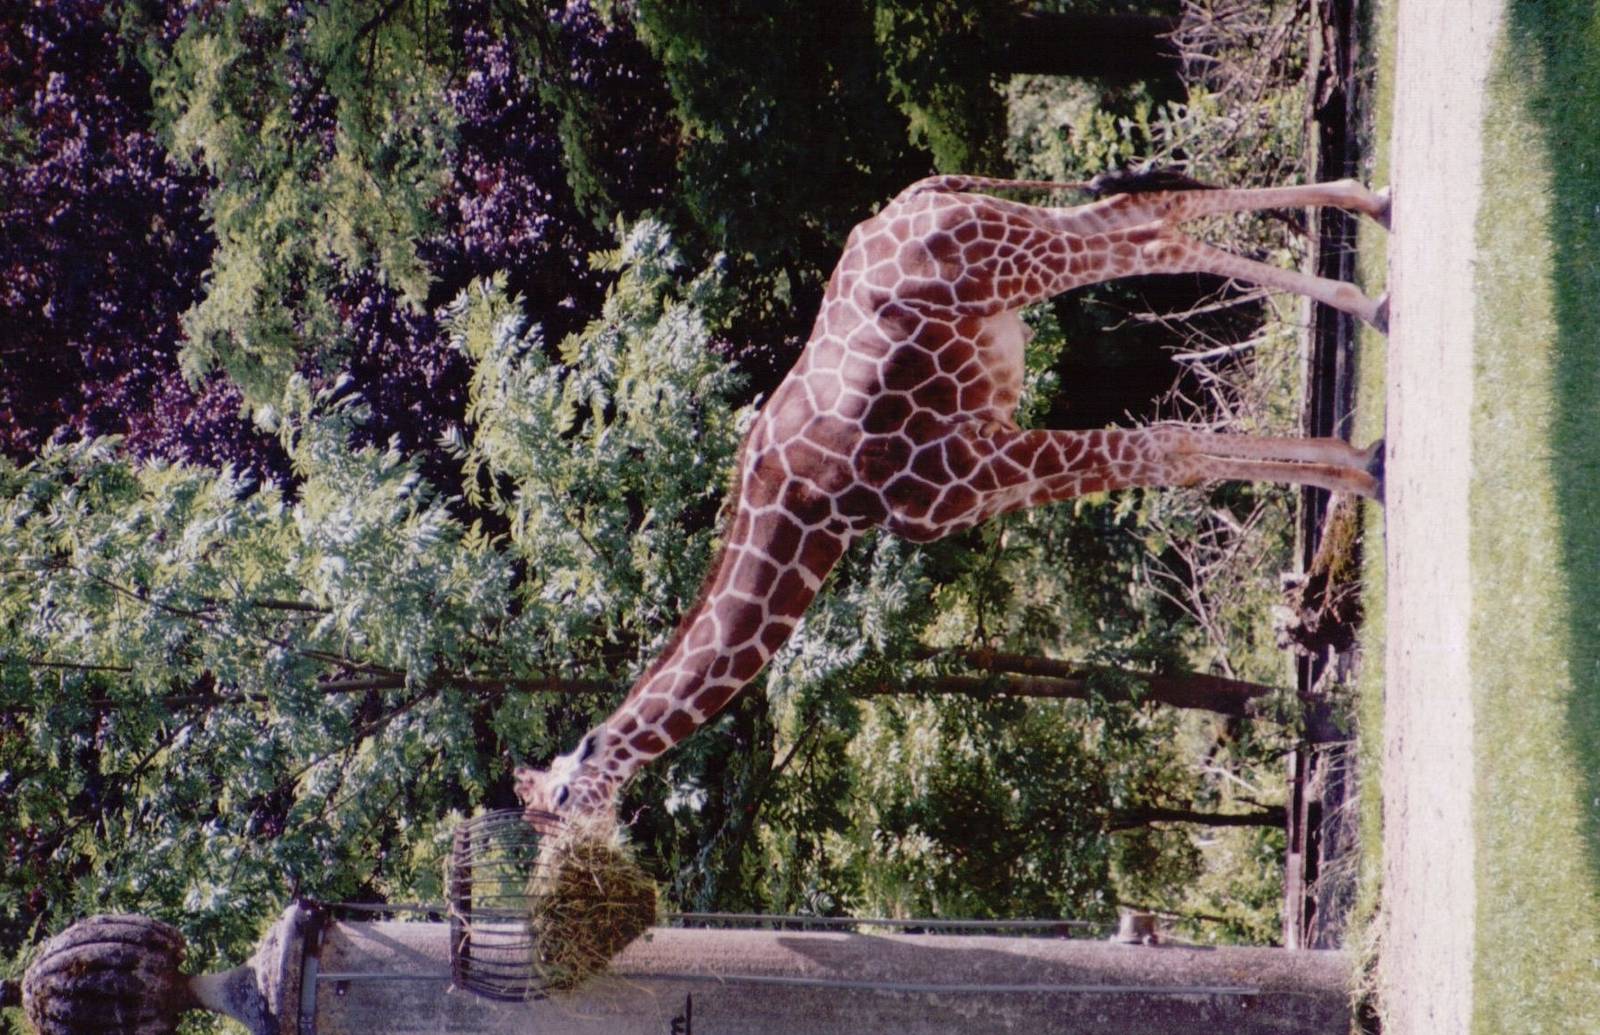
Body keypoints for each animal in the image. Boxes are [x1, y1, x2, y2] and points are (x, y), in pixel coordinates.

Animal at [514, 173, 1389, 822]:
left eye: (565, 802)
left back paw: (1372, 279)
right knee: (1139, 217)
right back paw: (1370, 226)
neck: (816, 510)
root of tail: (916, 196)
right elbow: (1174, 454)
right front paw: (1359, 465)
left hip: (1014, 255)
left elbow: (1172, 449)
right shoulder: (985, 486)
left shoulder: (978, 460)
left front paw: (1370, 468)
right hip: (1015, 234)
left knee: (1151, 226)